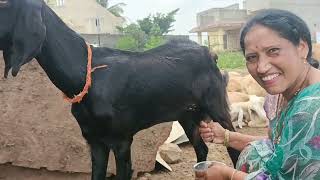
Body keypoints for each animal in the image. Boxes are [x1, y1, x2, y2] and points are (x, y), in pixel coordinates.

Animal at [0, 0, 240, 179]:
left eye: (4, 3)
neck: (86, 75)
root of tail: (209, 53)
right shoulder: (95, 141)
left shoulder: (121, 141)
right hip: (187, 115)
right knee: (202, 149)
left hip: (218, 109)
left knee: (233, 145)